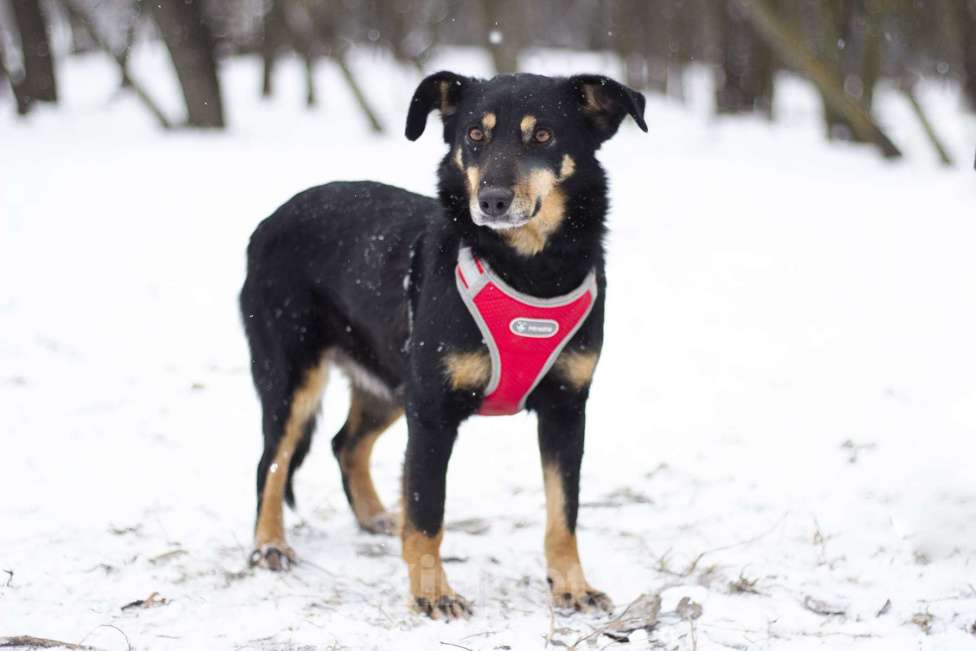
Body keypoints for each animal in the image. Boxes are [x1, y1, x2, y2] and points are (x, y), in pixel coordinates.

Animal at [238, 69, 648, 620]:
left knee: (346, 443)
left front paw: (571, 587)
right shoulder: (432, 412)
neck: (528, 270)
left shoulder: (566, 407)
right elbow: (428, 512)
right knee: (273, 462)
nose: (492, 200)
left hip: (391, 381)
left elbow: (564, 512)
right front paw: (432, 593)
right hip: (294, 377)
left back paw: (374, 516)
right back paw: (269, 545)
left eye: (543, 135)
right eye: (474, 135)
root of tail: (269, 221)